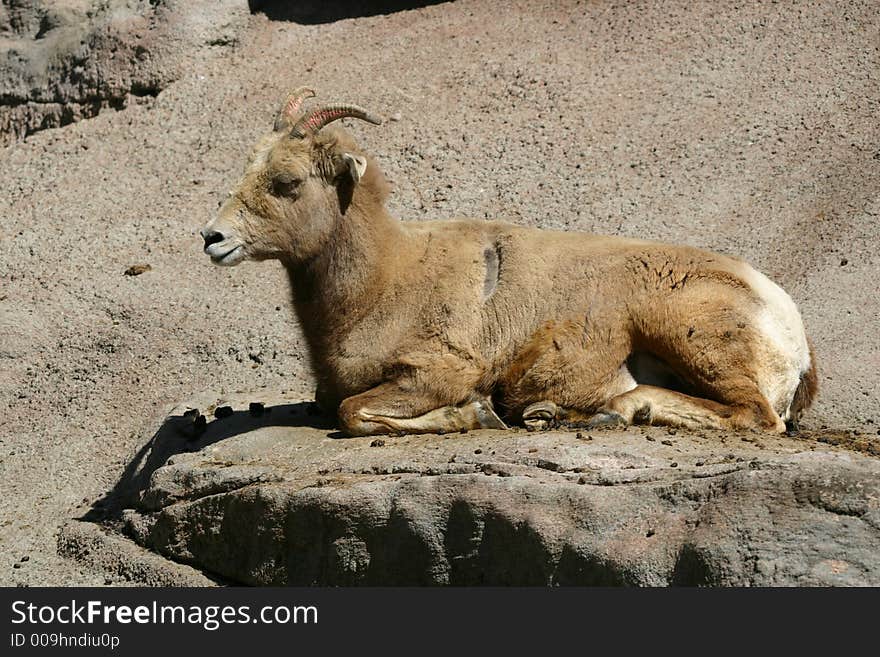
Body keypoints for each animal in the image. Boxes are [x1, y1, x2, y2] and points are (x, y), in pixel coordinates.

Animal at [199, 87, 820, 436]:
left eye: (287, 182)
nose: (212, 237)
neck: (386, 279)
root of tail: (792, 333)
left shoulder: (436, 372)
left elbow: (352, 414)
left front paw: (473, 416)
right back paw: (555, 414)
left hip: (688, 334)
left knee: (755, 417)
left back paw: (613, 411)